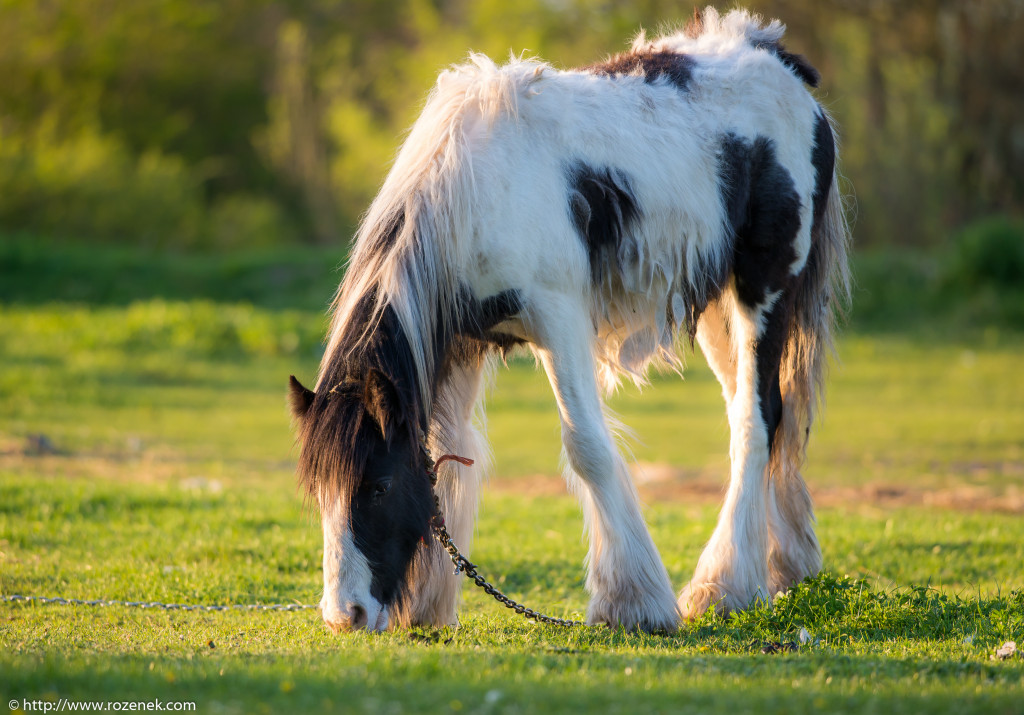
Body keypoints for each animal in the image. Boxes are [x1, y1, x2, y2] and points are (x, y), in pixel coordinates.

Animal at [286, 5, 847, 631]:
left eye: (378, 487)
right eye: (318, 490)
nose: (346, 614)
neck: (472, 190)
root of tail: (777, 58)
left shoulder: (558, 322)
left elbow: (588, 449)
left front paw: (632, 601)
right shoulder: (457, 343)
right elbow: (448, 457)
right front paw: (430, 606)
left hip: (762, 293)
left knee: (758, 419)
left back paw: (723, 587)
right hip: (716, 315)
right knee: (758, 415)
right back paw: (785, 569)